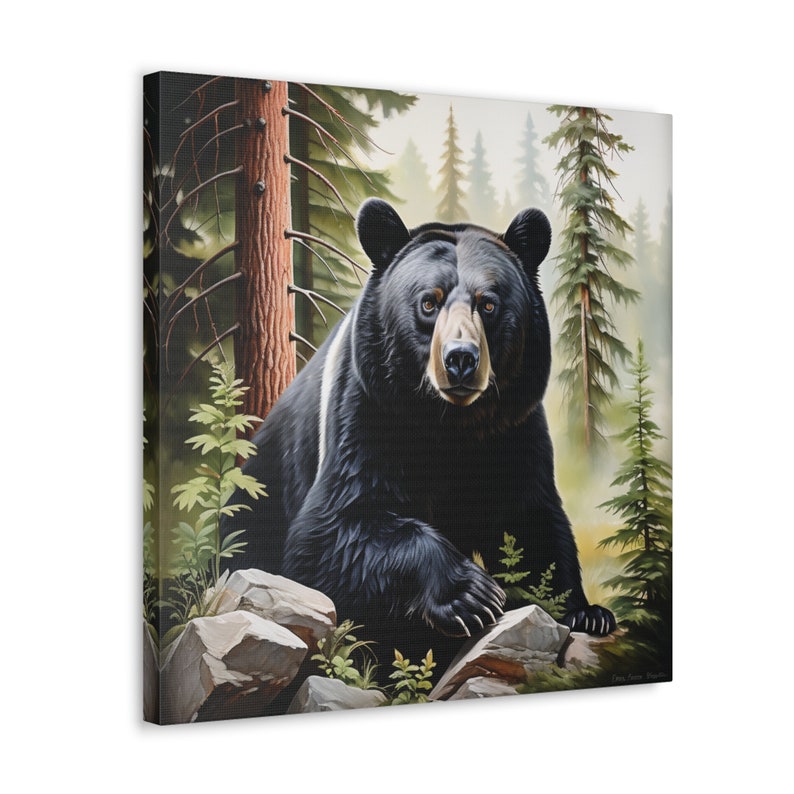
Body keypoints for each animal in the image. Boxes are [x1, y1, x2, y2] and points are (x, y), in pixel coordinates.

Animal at [223, 198, 615, 672]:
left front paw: (587, 612)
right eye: (429, 302)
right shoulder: (368, 412)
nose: (461, 359)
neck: (450, 425)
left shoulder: (513, 430)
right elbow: (331, 532)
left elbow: (530, 518)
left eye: (488, 304)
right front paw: (471, 593)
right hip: (255, 504)